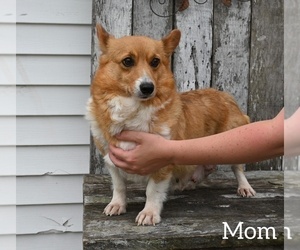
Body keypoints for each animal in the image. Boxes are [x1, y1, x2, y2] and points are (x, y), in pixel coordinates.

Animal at [86, 24, 255, 226]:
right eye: (127, 61)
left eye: (155, 62)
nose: (148, 87)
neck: (133, 109)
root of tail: (225, 95)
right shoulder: (111, 160)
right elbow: (119, 186)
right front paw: (117, 205)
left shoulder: (161, 161)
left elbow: (152, 191)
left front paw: (149, 213)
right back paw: (189, 183)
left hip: (232, 139)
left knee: (238, 168)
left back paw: (244, 187)